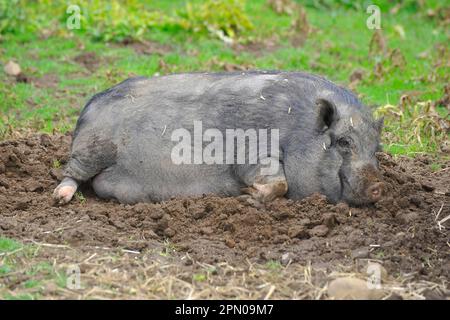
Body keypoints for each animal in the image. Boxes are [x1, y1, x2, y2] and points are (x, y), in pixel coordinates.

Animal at [51, 71, 384, 206]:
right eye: (343, 142)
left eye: (376, 149)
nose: (379, 186)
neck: (298, 131)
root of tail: (90, 103)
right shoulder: (252, 146)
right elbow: (279, 181)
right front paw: (246, 196)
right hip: (92, 147)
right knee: (71, 173)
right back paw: (60, 198)